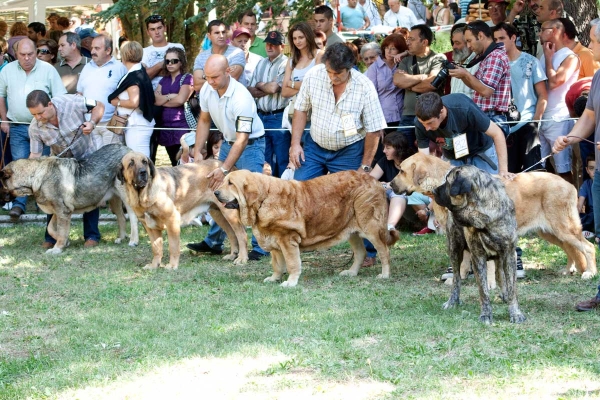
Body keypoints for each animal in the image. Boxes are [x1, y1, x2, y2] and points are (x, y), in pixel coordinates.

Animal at [0, 144, 139, 253]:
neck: (35, 175)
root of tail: (129, 150)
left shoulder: (63, 211)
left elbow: (61, 231)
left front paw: (57, 248)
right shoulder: (58, 212)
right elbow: (51, 228)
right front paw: (64, 242)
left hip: (126, 197)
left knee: (133, 217)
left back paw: (133, 240)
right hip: (114, 198)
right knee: (121, 217)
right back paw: (121, 238)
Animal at [117, 152, 248, 270]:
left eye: (144, 162)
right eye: (131, 163)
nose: (143, 172)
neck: (143, 195)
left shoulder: (172, 219)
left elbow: (173, 246)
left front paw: (172, 266)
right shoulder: (150, 226)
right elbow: (156, 248)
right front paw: (154, 265)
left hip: (229, 213)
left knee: (241, 235)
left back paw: (242, 258)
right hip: (217, 213)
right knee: (231, 234)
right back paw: (232, 255)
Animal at [213, 170, 400, 286]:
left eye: (230, 183)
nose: (215, 192)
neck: (263, 199)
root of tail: (376, 182)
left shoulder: (288, 240)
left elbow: (292, 263)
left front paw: (290, 282)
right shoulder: (275, 243)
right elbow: (277, 265)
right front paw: (274, 279)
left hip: (371, 228)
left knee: (384, 252)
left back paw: (384, 275)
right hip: (351, 231)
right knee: (361, 252)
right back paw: (351, 272)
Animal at [390, 152, 596, 280]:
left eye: (401, 170)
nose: (390, 184)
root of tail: (570, 185)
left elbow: (463, 261)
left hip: (563, 228)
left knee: (588, 247)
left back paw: (590, 272)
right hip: (550, 232)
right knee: (571, 249)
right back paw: (568, 270)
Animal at [432, 166, 524, 324]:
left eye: (447, 182)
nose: (433, 190)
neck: (481, 214)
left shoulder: (509, 253)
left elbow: (512, 288)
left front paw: (515, 313)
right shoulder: (478, 256)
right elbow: (483, 291)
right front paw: (486, 314)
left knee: (500, 274)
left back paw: (504, 295)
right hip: (454, 249)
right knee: (456, 278)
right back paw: (452, 301)